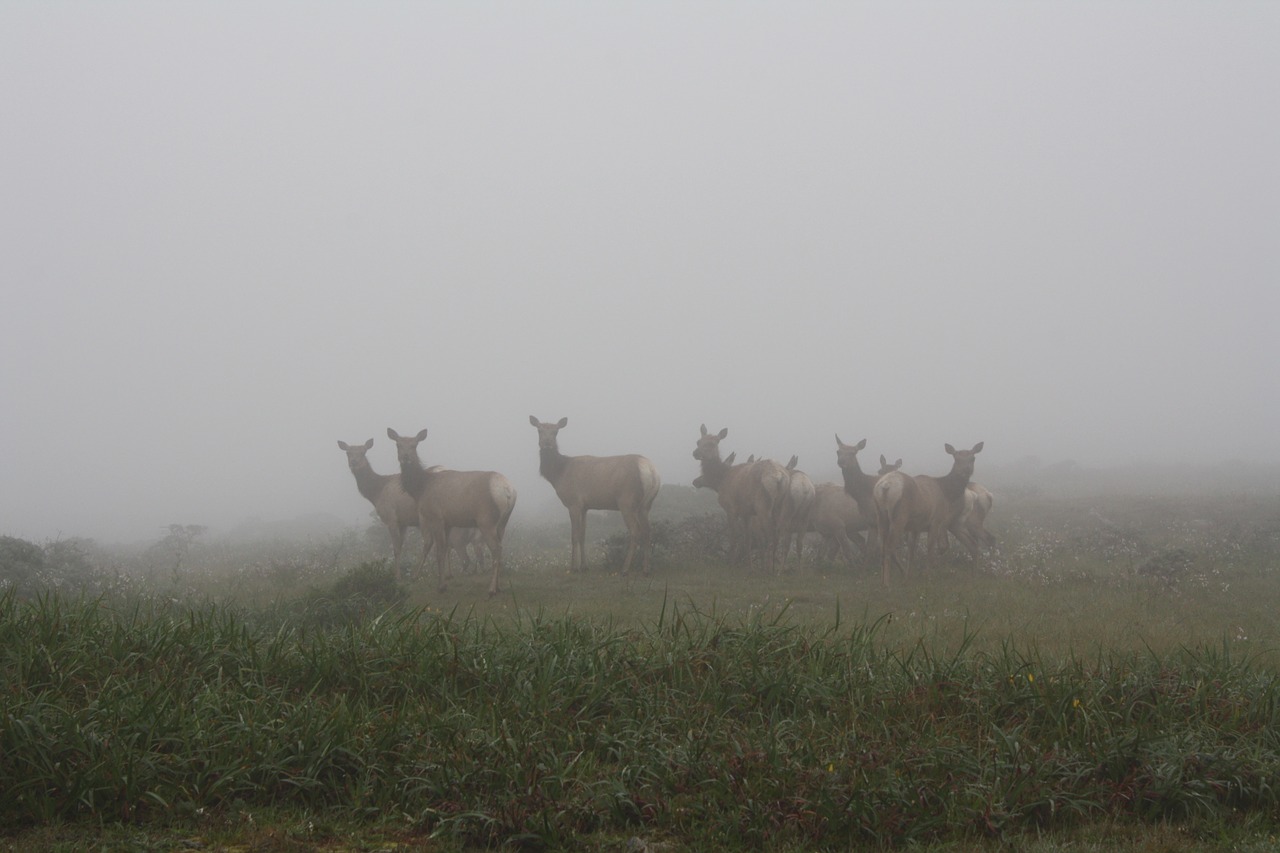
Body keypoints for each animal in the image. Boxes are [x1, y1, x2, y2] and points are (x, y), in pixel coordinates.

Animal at [384, 427, 519, 594]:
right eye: (398, 444)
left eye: (414, 445)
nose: (405, 457)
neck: (420, 489)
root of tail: (508, 490)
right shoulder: (447, 522)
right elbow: (444, 549)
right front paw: (445, 581)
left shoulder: (435, 516)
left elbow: (438, 551)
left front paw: (440, 586)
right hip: (503, 522)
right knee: (501, 547)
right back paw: (499, 586)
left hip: (486, 520)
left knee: (496, 549)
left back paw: (492, 589)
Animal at [529, 414, 665, 573]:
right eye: (539, 430)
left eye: (556, 432)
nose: (547, 444)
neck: (558, 474)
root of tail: (651, 471)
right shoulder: (585, 507)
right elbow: (583, 535)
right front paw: (584, 566)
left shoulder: (573, 502)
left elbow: (574, 535)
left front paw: (573, 567)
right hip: (646, 504)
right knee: (647, 531)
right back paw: (646, 569)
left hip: (627, 501)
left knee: (635, 531)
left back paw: (625, 569)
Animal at [691, 422, 788, 571]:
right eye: (698, 441)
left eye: (712, 443)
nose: (696, 453)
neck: (721, 480)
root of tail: (779, 477)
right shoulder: (746, 512)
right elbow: (747, 539)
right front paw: (749, 567)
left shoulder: (730, 507)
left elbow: (733, 538)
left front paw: (731, 564)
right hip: (782, 506)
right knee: (780, 535)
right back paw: (776, 569)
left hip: (763, 505)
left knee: (770, 535)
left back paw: (768, 569)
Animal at [875, 438, 983, 584]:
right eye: (956, 458)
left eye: (973, 458)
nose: (966, 470)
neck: (946, 492)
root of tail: (885, 486)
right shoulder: (936, 520)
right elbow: (931, 548)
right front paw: (927, 576)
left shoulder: (916, 527)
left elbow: (912, 551)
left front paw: (909, 577)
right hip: (900, 517)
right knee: (889, 547)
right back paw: (887, 583)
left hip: (881, 516)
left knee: (881, 547)